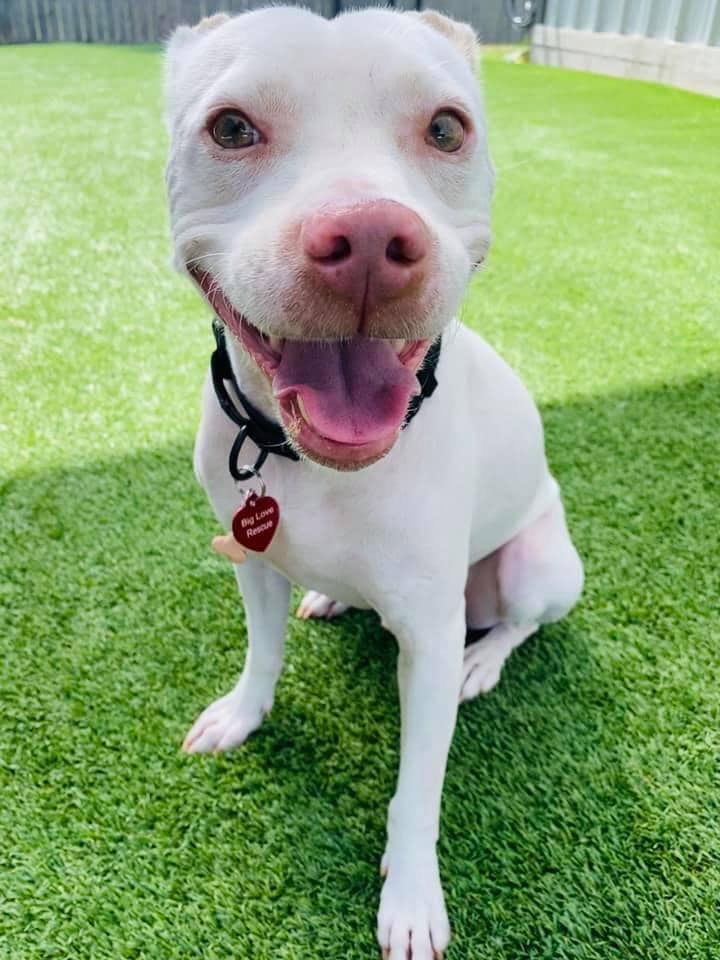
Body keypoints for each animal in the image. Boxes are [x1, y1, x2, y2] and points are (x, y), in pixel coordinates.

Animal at [166, 9, 584, 960]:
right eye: (231, 127)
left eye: (446, 129)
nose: (364, 242)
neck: (306, 463)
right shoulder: (252, 559)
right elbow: (262, 652)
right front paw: (243, 714)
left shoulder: (425, 640)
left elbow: (419, 788)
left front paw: (413, 899)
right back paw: (332, 596)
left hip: (540, 568)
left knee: (518, 622)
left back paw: (484, 661)